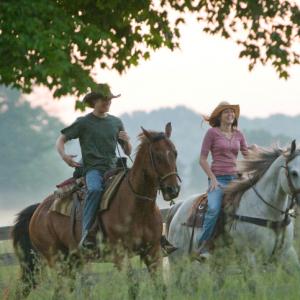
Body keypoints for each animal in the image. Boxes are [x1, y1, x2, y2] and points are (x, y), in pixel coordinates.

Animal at [11, 122, 180, 296]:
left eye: (175, 153)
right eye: (157, 156)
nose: (173, 189)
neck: (138, 207)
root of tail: (38, 210)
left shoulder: (153, 252)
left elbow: (160, 288)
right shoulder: (121, 255)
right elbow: (132, 288)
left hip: (73, 260)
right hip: (57, 260)